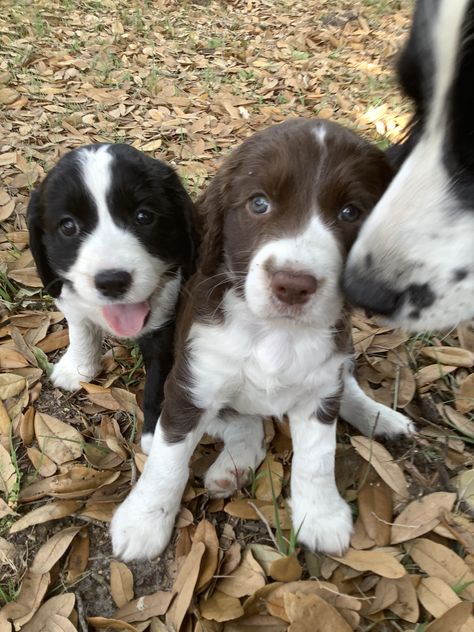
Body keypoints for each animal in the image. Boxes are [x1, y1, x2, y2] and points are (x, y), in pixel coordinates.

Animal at [26, 146, 196, 446]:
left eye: (144, 217)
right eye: (68, 227)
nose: (112, 281)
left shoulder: (166, 324)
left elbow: (159, 379)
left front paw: (156, 434)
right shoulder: (72, 298)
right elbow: (81, 331)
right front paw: (78, 367)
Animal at [111, 119, 414, 564]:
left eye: (351, 212)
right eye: (259, 204)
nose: (293, 285)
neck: (275, 333)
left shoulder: (320, 390)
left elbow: (317, 457)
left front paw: (321, 515)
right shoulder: (189, 387)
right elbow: (167, 460)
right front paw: (144, 521)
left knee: (344, 386)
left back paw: (380, 417)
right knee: (248, 424)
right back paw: (230, 468)